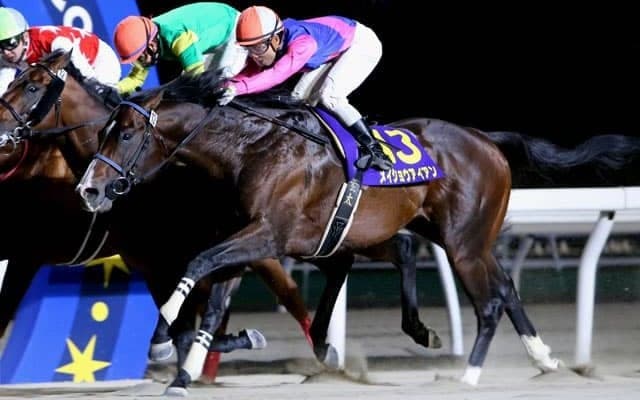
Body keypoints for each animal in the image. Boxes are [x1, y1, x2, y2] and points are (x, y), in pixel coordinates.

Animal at [0, 50, 312, 387]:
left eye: (31, 87)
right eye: (13, 81)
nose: (0, 124)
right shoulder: (148, 261)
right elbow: (181, 324)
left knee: (283, 292)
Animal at [76, 67, 566, 389]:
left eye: (126, 133)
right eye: (103, 131)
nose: (89, 189)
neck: (252, 149)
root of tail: (486, 140)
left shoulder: (268, 235)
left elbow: (198, 263)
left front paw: (165, 339)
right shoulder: (250, 236)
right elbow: (213, 297)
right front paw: (184, 372)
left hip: (463, 242)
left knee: (490, 300)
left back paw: (469, 375)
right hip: (447, 235)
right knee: (496, 284)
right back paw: (543, 359)